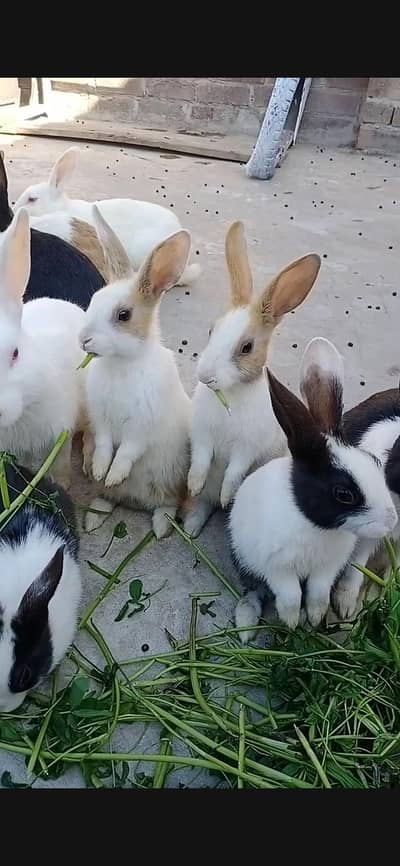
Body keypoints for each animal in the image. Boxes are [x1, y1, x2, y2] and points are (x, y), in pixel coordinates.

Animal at [80, 206, 191, 540]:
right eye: (93, 301)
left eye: (123, 315)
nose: (83, 340)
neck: (121, 363)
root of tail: (136, 503)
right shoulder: (101, 420)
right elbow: (105, 445)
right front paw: (101, 470)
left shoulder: (142, 427)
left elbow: (127, 451)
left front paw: (114, 474)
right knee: (109, 498)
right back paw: (95, 515)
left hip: (171, 479)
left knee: (166, 504)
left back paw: (161, 526)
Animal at [183, 220, 321, 538]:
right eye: (212, 330)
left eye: (246, 348)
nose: (205, 376)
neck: (231, 394)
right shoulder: (202, 435)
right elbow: (200, 461)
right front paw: (192, 485)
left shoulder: (247, 448)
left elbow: (234, 472)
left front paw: (226, 497)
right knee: (203, 505)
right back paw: (191, 527)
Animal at [230, 338, 398, 644]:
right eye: (344, 494)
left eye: (376, 462)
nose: (391, 522)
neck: (315, 526)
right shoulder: (277, 568)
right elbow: (291, 595)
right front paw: (292, 622)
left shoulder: (327, 569)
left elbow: (317, 595)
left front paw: (315, 619)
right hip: (243, 557)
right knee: (252, 590)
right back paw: (246, 626)